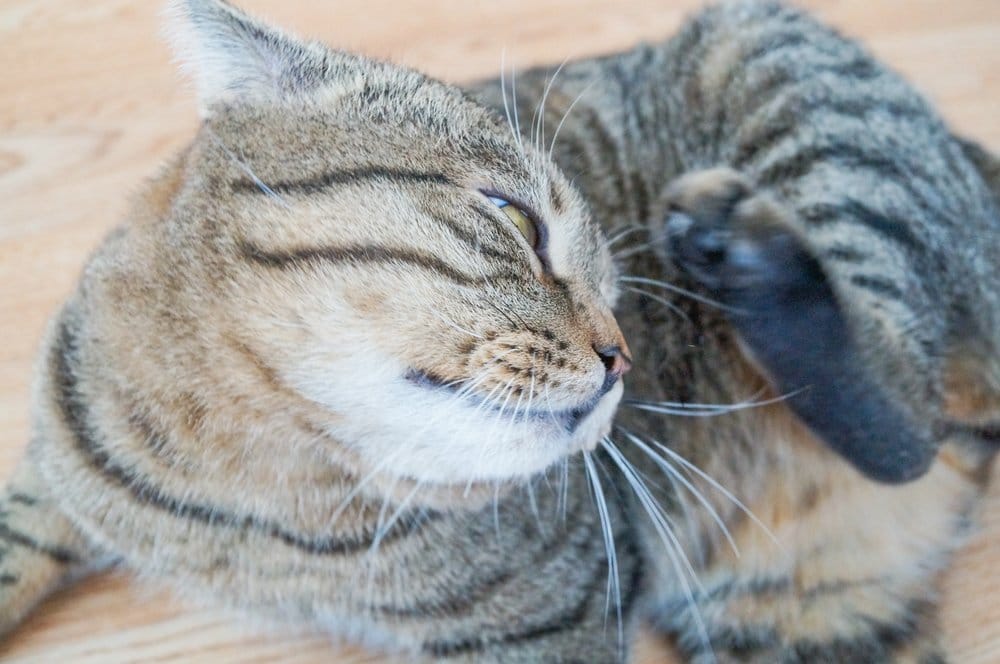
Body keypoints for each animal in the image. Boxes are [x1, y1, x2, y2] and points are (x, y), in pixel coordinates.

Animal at [1, 1, 1000, 664]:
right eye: (514, 218)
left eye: (616, 288)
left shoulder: (553, 626)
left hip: (772, 63)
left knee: (906, 422)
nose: (621, 356)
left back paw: (742, 253)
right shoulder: (48, 474)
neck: (255, 499)